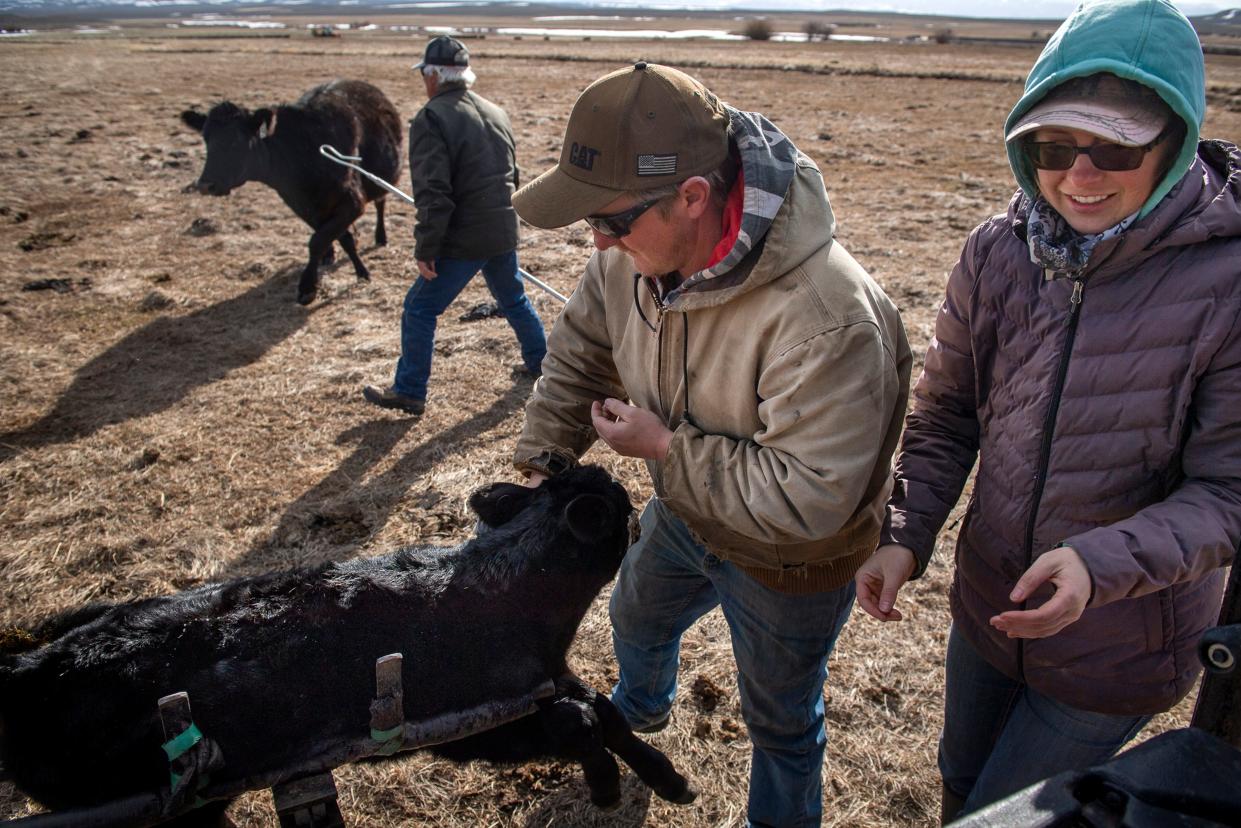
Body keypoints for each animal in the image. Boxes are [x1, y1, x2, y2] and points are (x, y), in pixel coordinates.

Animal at [0, 469, 699, 824]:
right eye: (619, 506)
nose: (644, 503)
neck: (509, 587)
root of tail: (32, 666)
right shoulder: (481, 727)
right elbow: (582, 723)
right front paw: (605, 789)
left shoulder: (557, 678)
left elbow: (606, 713)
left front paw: (671, 782)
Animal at [181, 79, 402, 306]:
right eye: (206, 138)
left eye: (236, 141)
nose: (205, 185)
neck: (300, 153)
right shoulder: (302, 206)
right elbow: (333, 238)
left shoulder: (353, 202)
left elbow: (318, 241)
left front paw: (309, 287)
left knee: (380, 204)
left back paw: (381, 237)